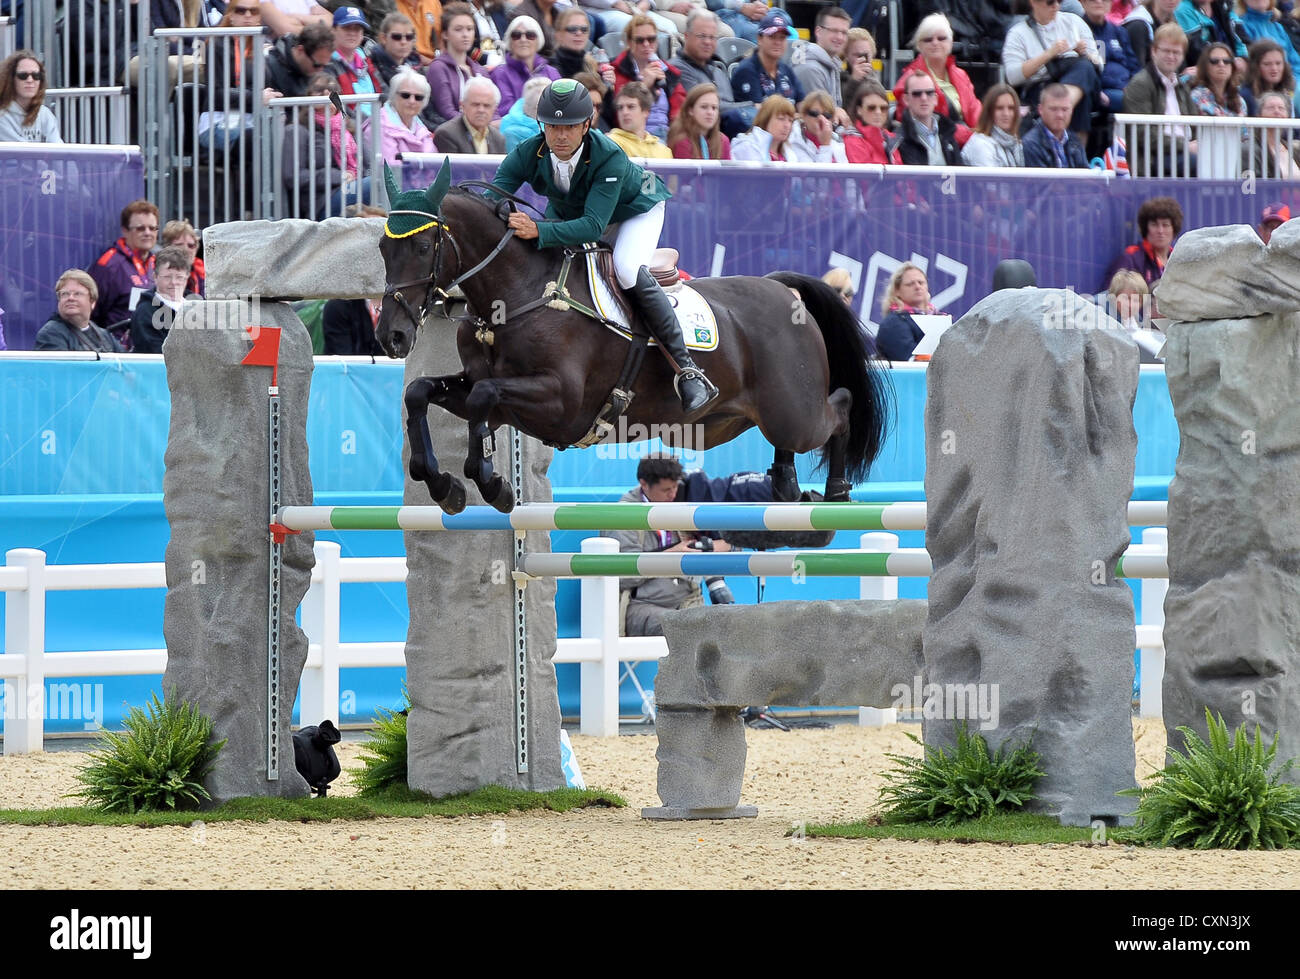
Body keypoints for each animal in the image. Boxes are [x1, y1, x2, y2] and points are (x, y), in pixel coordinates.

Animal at [371, 169, 889, 514]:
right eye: (382, 248)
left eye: (423, 247)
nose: (391, 335)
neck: (514, 295)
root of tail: (784, 290)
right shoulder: (501, 401)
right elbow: (421, 392)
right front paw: (444, 485)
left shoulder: (561, 402)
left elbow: (482, 395)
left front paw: (492, 484)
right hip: (737, 421)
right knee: (791, 440)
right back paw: (784, 487)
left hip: (795, 411)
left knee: (840, 408)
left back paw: (837, 490)